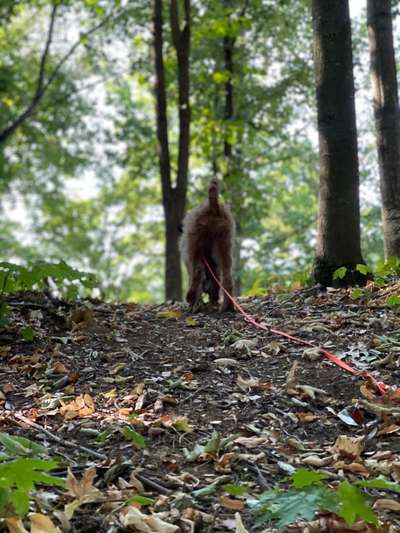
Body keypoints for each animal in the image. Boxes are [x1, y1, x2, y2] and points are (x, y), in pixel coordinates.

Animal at [180, 179, 234, 312]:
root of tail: (212, 207)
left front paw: (196, 302)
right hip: (224, 243)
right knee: (227, 276)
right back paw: (228, 306)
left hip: (195, 244)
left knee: (197, 272)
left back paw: (191, 297)